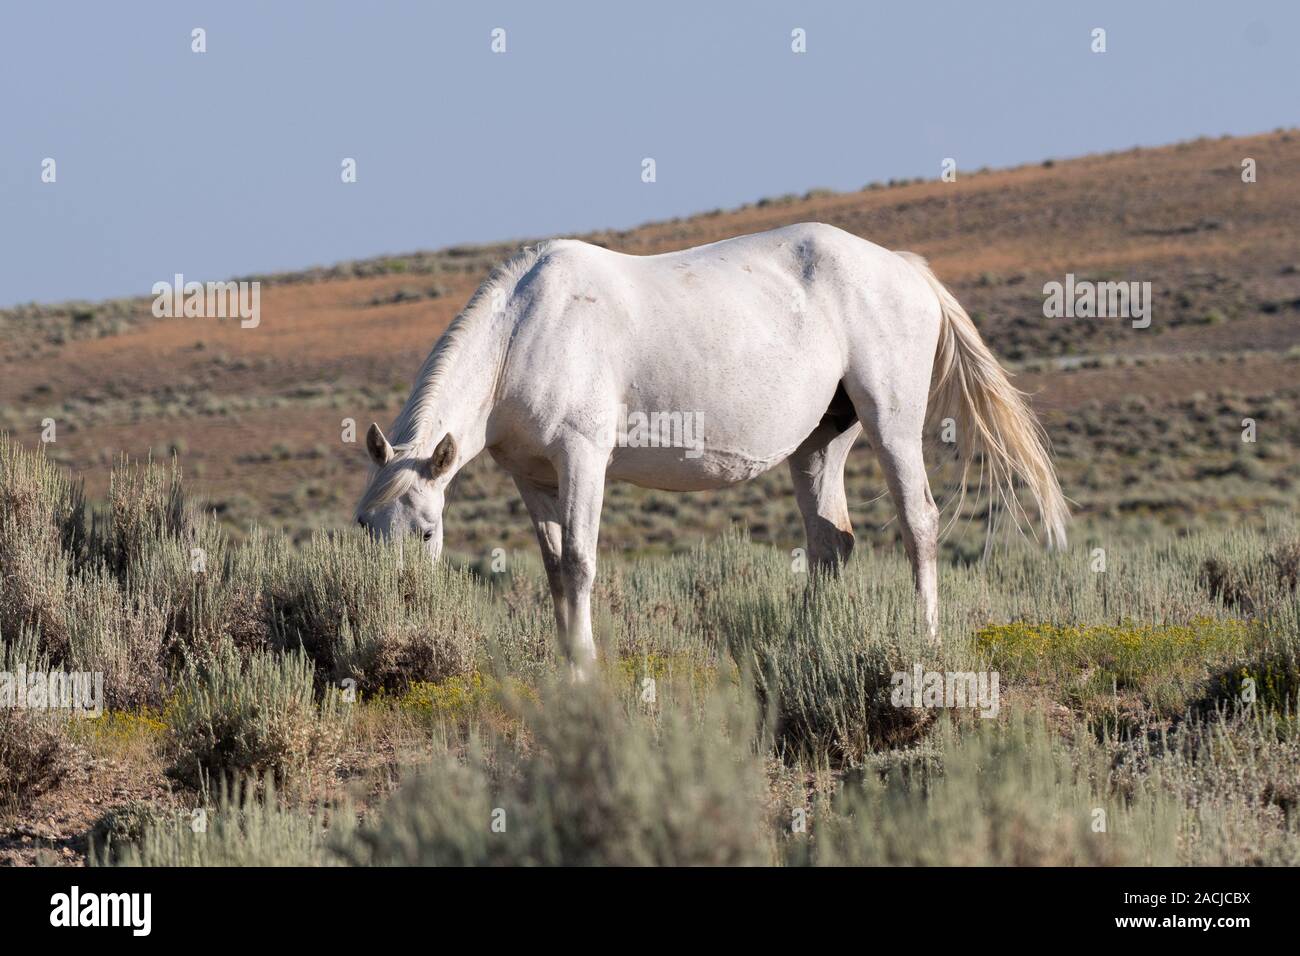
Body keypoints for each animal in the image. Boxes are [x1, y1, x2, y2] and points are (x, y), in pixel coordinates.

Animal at [355, 222, 1068, 679]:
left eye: (426, 533)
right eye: (364, 528)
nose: (395, 629)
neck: (526, 327)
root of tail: (904, 267)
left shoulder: (582, 459)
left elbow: (581, 563)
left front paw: (584, 667)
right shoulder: (533, 479)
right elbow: (555, 568)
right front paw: (563, 664)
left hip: (890, 422)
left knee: (918, 523)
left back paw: (924, 639)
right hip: (820, 442)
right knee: (831, 541)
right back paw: (806, 645)